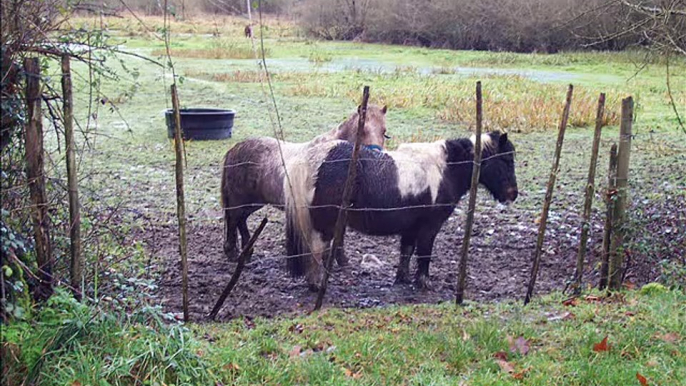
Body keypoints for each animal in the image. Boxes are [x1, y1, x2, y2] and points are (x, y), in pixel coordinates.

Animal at [284, 130, 516, 290]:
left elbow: (407, 251)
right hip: (325, 224)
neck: (445, 168)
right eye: (505, 159)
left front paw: (402, 279)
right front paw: (424, 283)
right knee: (316, 248)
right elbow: (424, 253)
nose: (513, 194)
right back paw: (317, 284)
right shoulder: (429, 227)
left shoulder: (411, 227)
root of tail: (314, 158)